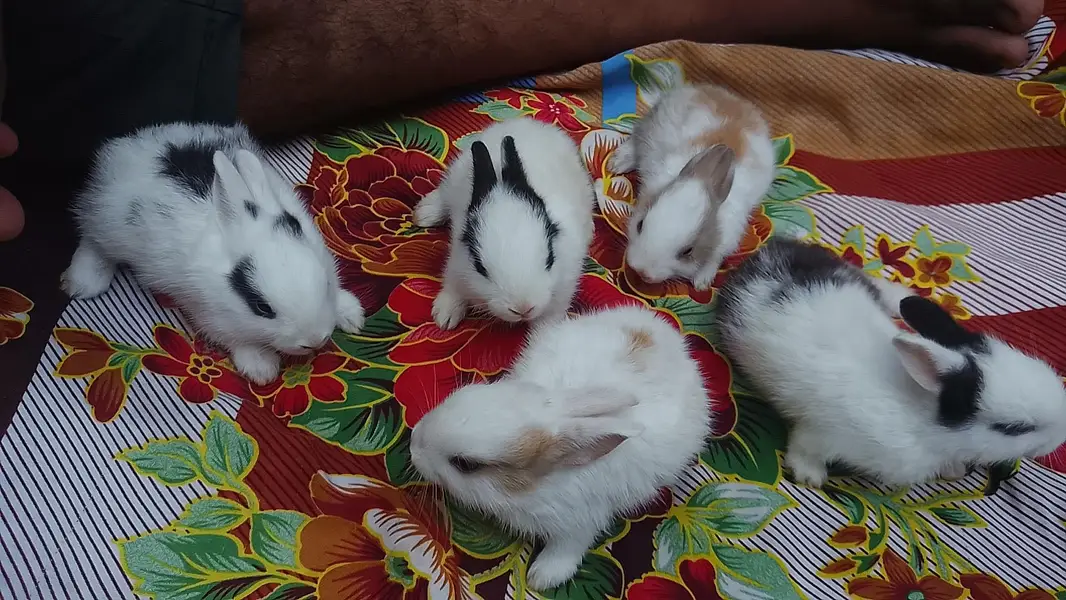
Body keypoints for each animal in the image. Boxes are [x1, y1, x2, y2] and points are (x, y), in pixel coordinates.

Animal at [61, 122, 366, 385]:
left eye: (326, 284)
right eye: (262, 308)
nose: (315, 340)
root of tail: (128, 144)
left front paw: (352, 315)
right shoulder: (210, 316)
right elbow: (237, 339)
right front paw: (261, 369)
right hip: (109, 226)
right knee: (91, 237)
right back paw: (82, 283)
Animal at [410, 305, 712, 590]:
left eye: (465, 464)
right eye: (464, 392)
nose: (413, 445)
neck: (534, 489)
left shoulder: (580, 523)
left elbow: (566, 550)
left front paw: (540, 578)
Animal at [412, 118, 595, 330]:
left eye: (550, 258)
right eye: (480, 267)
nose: (522, 308)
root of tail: (527, 123)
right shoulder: (457, 258)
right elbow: (453, 283)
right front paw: (445, 316)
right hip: (454, 177)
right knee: (443, 196)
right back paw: (424, 213)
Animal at [610, 83, 775, 291]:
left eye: (688, 251)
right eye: (640, 225)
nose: (641, 270)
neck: (704, 177)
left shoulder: (728, 236)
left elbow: (714, 257)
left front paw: (701, 282)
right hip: (651, 128)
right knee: (636, 138)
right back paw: (618, 163)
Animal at [716, 237, 1066, 489]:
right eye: (1014, 428)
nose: (1061, 437)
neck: (923, 417)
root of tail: (770, 250)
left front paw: (954, 470)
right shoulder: (824, 431)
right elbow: (805, 447)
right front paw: (809, 476)